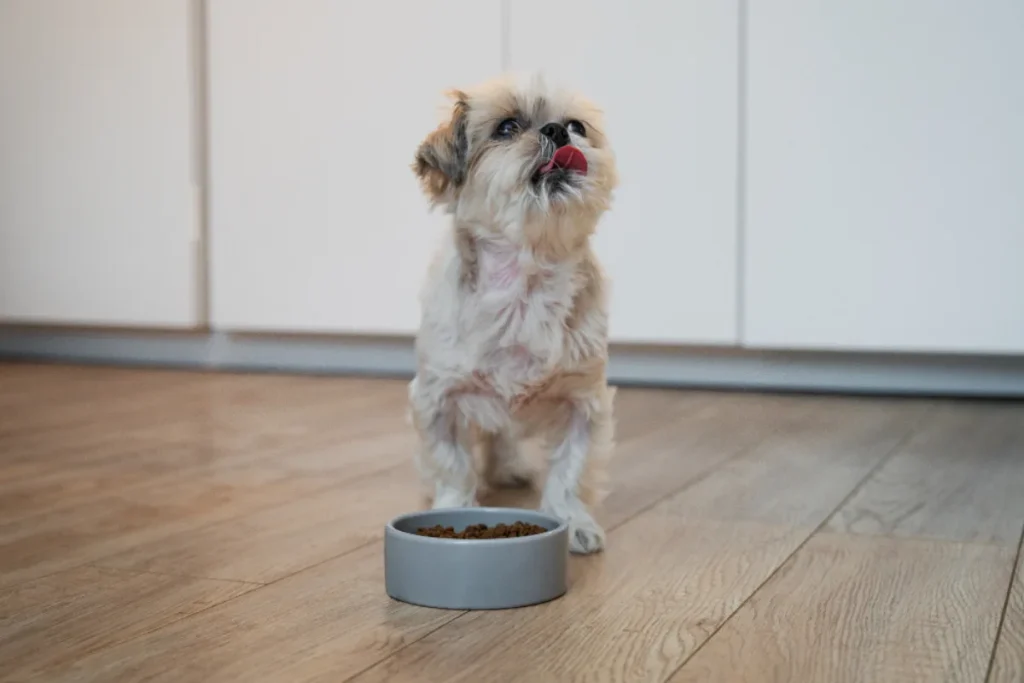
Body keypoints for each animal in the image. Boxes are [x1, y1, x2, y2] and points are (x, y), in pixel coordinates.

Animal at [405, 73, 614, 557]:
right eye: (506, 128)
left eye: (577, 126)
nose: (556, 131)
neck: (525, 288)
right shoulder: (438, 398)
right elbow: (452, 464)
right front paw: (453, 507)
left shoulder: (583, 401)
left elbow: (570, 472)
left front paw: (575, 522)